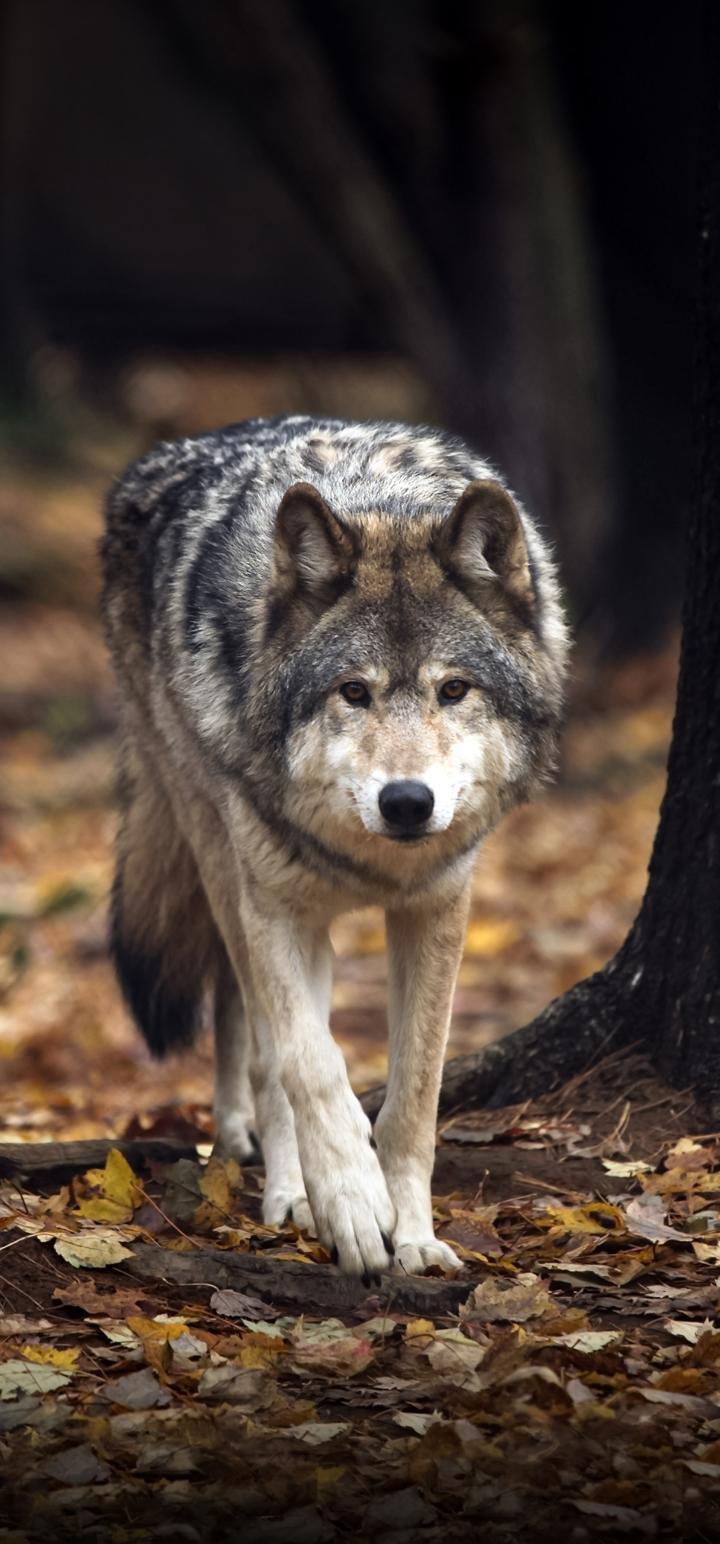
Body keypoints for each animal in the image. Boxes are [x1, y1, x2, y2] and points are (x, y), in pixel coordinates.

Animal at [101, 414, 568, 1279]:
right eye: (354, 691)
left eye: (454, 690)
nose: (407, 802)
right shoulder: (273, 907)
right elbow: (310, 1065)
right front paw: (349, 1201)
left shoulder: (436, 911)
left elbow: (413, 1098)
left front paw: (414, 1237)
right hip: (217, 851)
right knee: (262, 1042)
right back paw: (287, 1190)